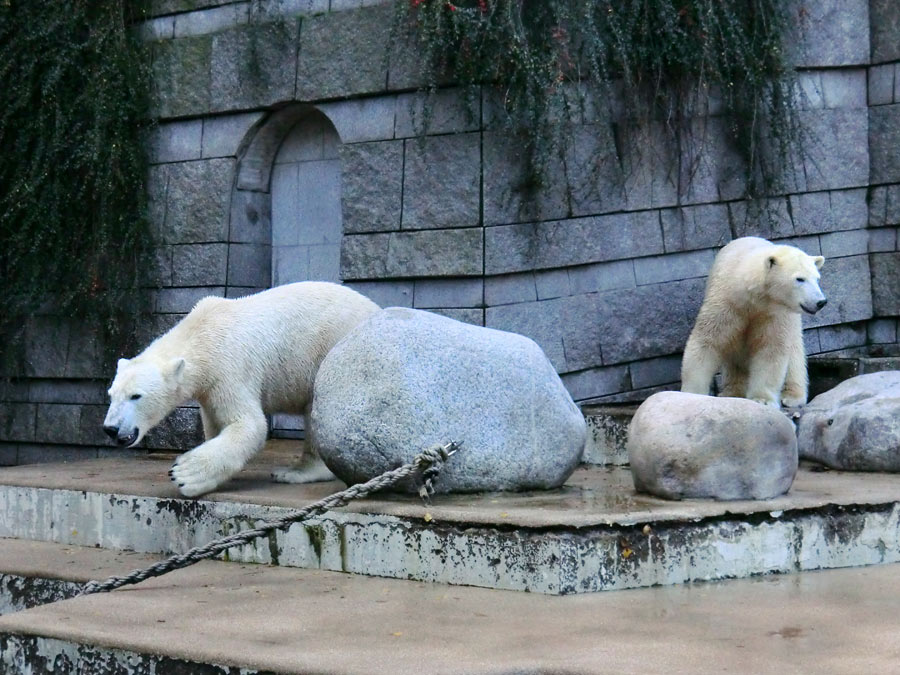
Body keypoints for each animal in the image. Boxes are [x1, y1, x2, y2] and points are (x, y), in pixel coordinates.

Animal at [103, 280, 380, 496]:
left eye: (136, 396)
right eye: (111, 395)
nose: (111, 428)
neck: (201, 334)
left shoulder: (229, 367)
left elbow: (249, 424)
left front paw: (186, 474)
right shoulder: (209, 388)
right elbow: (215, 424)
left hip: (332, 351)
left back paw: (294, 472)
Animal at [684, 235, 824, 410]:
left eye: (817, 279)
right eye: (800, 279)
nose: (821, 302)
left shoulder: (775, 314)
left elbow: (770, 348)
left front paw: (762, 399)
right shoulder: (727, 303)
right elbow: (707, 341)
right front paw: (692, 394)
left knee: (794, 351)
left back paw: (792, 396)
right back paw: (732, 391)